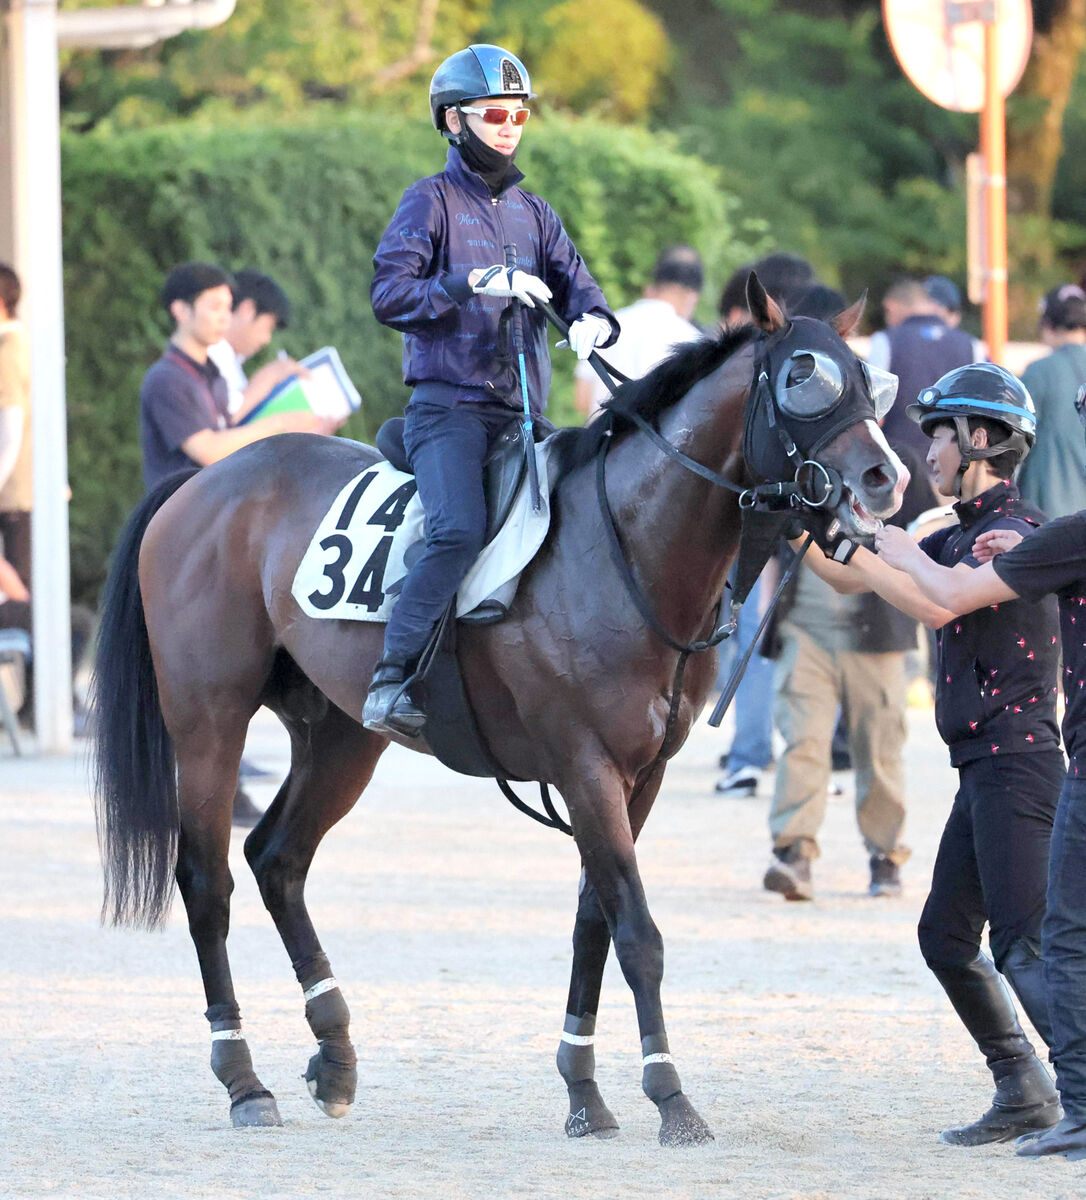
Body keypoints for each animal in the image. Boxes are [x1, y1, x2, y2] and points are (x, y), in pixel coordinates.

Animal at [93, 278, 902, 1142]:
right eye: (804, 379)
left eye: (869, 379)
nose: (885, 477)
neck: (628, 545)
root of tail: (203, 483)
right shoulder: (586, 765)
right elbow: (636, 931)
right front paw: (669, 1094)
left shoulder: (639, 775)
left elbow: (595, 922)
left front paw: (584, 1090)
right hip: (208, 721)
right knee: (207, 880)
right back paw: (244, 1079)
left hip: (341, 736)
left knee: (278, 858)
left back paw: (334, 1055)